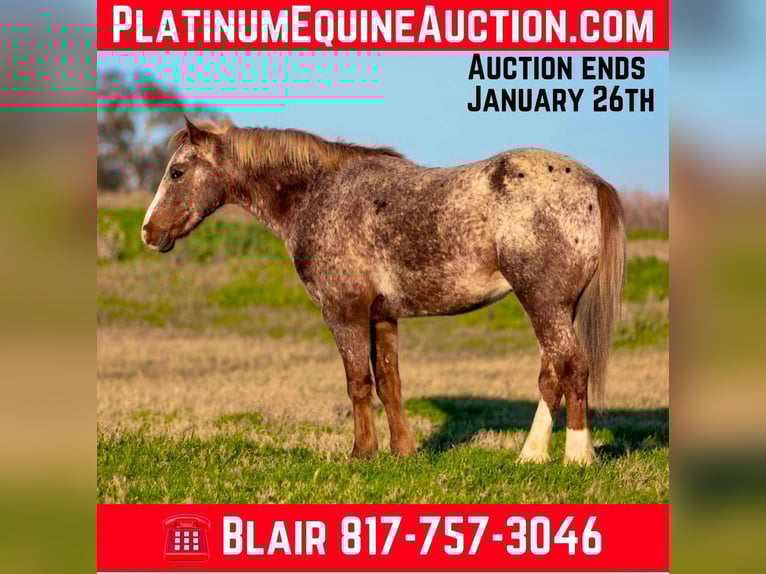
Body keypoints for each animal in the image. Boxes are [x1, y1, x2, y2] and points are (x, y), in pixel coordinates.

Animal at [142, 116, 625, 465]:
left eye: (177, 172)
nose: (149, 232)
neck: (320, 194)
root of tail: (590, 182)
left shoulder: (345, 313)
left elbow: (358, 382)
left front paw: (362, 452)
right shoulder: (383, 315)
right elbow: (389, 382)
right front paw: (403, 451)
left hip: (544, 303)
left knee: (572, 368)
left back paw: (577, 456)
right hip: (556, 307)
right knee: (551, 375)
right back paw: (532, 455)